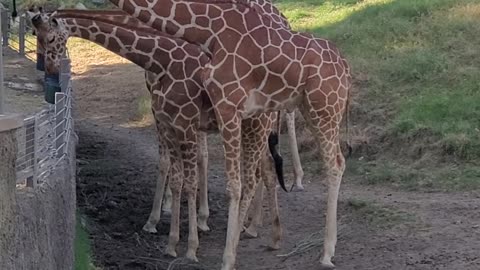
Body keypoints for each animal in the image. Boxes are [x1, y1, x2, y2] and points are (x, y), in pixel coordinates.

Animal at [27, 8, 284, 260]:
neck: (162, 61)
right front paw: (170, 241)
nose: (49, 68)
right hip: (251, 128)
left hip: (256, 126)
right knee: (267, 169)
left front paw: (191, 246)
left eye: (51, 38)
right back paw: (268, 235)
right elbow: (175, 177)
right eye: (36, 36)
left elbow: (190, 181)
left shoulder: (186, 126)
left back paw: (241, 237)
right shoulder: (168, 125)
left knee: (252, 178)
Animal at [109, 1, 352, 268]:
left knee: (334, 164)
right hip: (304, 107)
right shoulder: (195, 113)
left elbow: (232, 184)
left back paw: (325, 251)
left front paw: (219, 251)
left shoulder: (219, 109)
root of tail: (345, 65)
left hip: (324, 109)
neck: (209, 30)